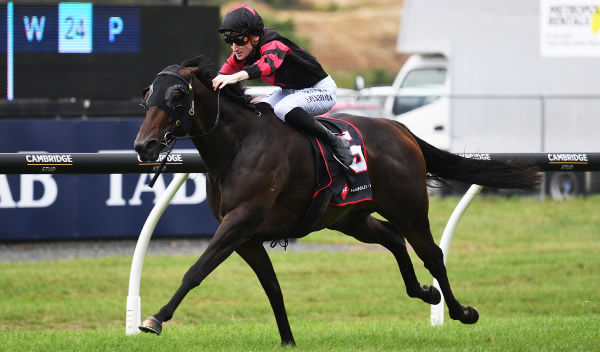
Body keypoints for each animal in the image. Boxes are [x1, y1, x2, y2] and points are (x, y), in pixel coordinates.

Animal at [135, 56, 540, 346]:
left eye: (176, 96)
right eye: (147, 94)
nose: (144, 146)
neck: (239, 145)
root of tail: (400, 128)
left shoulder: (241, 221)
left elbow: (195, 270)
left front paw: (155, 318)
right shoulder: (245, 235)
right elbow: (272, 287)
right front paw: (288, 340)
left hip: (408, 209)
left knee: (432, 254)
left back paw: (461, 310)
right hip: (351, 218)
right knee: (393, 239)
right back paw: (423, 291)